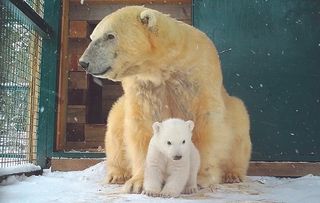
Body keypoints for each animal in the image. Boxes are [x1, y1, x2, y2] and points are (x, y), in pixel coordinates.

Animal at [79, 5, 251, 193]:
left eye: (110, 35)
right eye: (92, 37)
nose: (83, 62)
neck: (165, 65)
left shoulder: (198, 76)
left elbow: (205, 124)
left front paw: (199, 178)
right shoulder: (144, 86)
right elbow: (143, 125)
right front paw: (138, 182)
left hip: (234, 111)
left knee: (239, 128)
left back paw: (233, 174)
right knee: (115, 124)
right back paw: (117, 175)